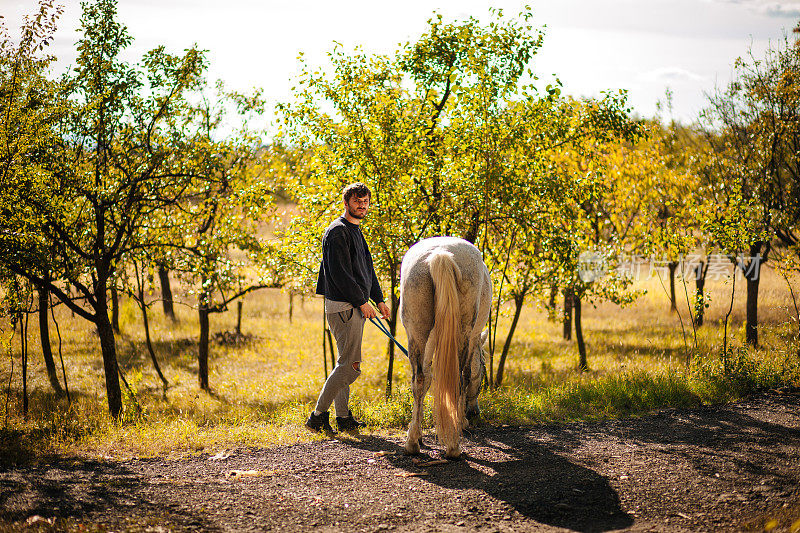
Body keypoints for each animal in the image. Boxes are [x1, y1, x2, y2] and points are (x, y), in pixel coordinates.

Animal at [396, 237, 490, 458]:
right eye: (483, 372)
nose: (475, 412)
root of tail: (440, 254)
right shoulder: (472, 340)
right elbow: (467, 375)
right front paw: (462, 421)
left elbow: (428, 378)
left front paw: (418, 434)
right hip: (463, 333)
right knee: (458, 379)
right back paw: (454, 446)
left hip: (417, 333)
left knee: (419, 379)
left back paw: (412, 444)